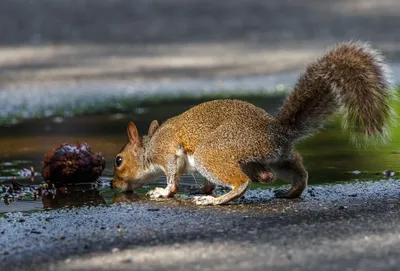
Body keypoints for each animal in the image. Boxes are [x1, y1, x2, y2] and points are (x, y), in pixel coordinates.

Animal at [111, 41, 396, 205]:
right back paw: (289, 192)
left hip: (213, 152)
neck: (150, 145)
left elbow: (172, 177)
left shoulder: (167, 151)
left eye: (118, 160)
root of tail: (276, 132)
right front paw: (203, 188)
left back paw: (216, 200)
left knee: (241, 182)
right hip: (278, 158)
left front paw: (164, 192)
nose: (113, 184)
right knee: (297, 174)